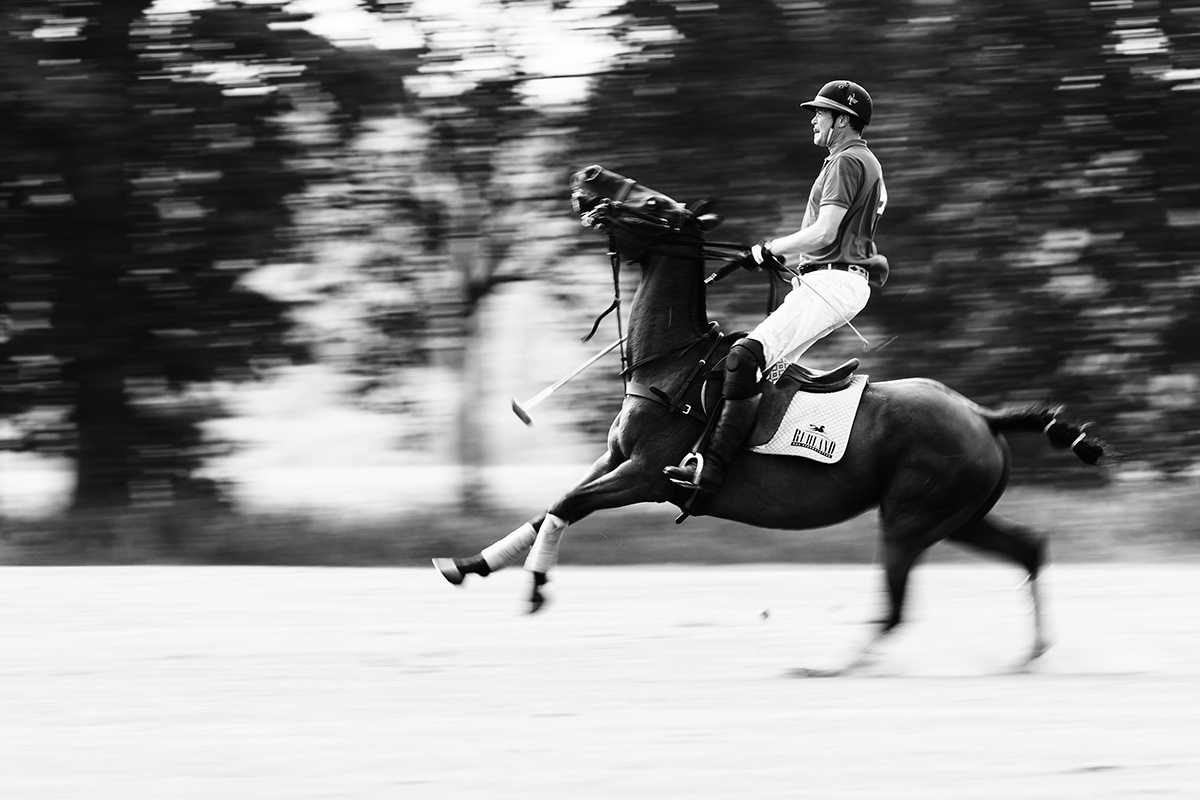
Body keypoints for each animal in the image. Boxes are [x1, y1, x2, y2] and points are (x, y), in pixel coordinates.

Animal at [434, 165, 1104, 671]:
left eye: (651, 202)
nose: (590, 174)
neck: (673, 362)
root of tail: (983, 416)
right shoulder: (615, 459)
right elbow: (548, 506)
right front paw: (465, 565)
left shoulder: (645, 475)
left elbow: (565, 505)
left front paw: (536, 588)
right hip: (957, 515)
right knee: (1030, 548)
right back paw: (1030, 655)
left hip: (911, 517)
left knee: (895, 606)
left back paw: (831, 664)